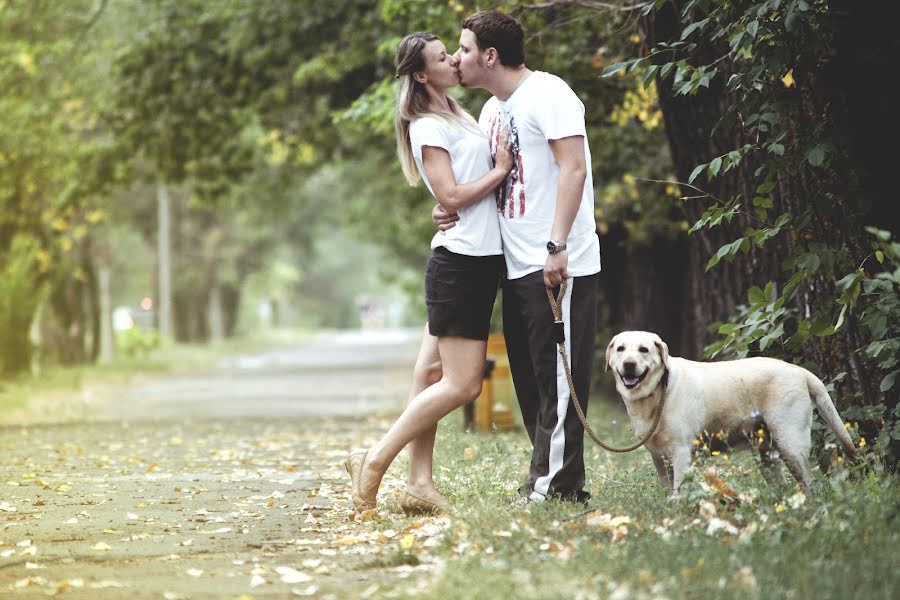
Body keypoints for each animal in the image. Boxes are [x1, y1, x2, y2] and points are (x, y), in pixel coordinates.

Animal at [604, 330, 856, 494]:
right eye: (620, 349)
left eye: (644, 350)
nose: (628, 364)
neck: (657, 392)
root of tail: (800, 371)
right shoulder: (659, 458)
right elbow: (668, 491)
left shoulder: (681, 454)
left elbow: (679, 492)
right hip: (765, 454)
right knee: (782, 486)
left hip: (791, 444)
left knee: (809, 484)